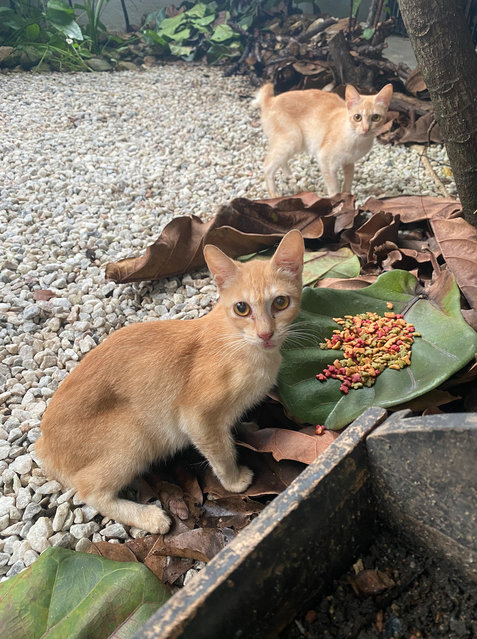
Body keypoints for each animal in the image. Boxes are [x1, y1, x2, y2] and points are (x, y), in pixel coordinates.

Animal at [37, 230, 304, 536]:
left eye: (280, 302)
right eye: (241, 308)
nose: (265, 334)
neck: (237, 340)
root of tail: (44, 445)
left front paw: (246, 426)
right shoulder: (196, 417)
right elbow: (220, 452)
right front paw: (234, 479)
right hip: (134, 434)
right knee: (89, 490)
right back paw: (149, 517)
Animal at [253, 84, 394, 198]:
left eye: (375, 117)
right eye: (357, 117)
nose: (366, 129)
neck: (356, 138)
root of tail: (271, 100)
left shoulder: (349, 162)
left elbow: (348, 180)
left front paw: (347, 196)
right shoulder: (325, 161)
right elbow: (333, 187)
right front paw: (338, 203)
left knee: (280, 161)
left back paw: (292, 181)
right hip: (292, 139)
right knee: (268, 165)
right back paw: (274, 194)